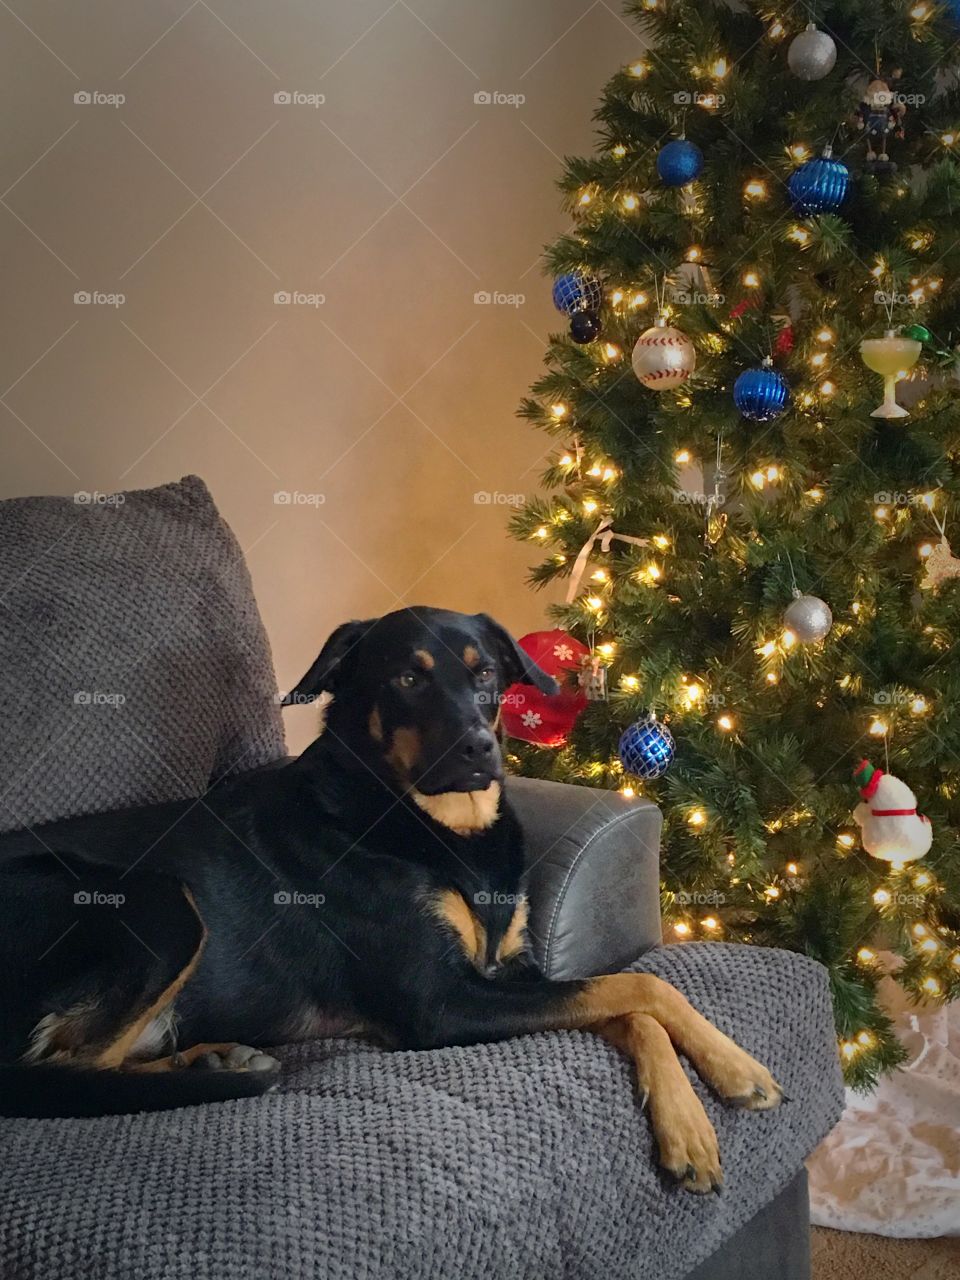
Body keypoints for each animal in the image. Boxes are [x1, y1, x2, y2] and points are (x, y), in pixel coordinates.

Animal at [0, 609, 783, 1187]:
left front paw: (712, 1090)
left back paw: (214, 1059)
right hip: (156, 904)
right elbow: (642, 986)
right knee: (65, 1073)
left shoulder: (512, 971)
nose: (478, 749)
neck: (432, 822)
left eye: (486, 673)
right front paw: (721, 1097)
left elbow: (625, 1002)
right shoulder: (438, 1002)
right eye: (408, 677)